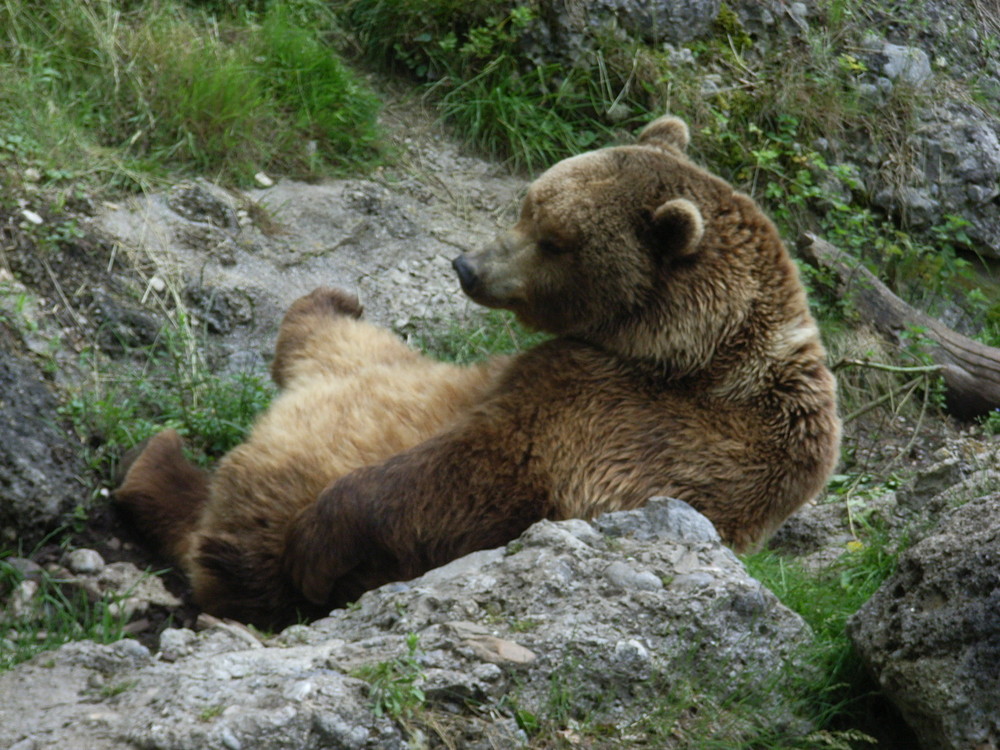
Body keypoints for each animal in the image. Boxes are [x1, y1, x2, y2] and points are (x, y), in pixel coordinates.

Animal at [113, 116, 840, 628]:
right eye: (527, 202)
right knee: (333, 339)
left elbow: (469, 472)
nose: (468, 266)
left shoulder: (622, 416)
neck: (689, 350)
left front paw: (314, 545)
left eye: (555, 240)